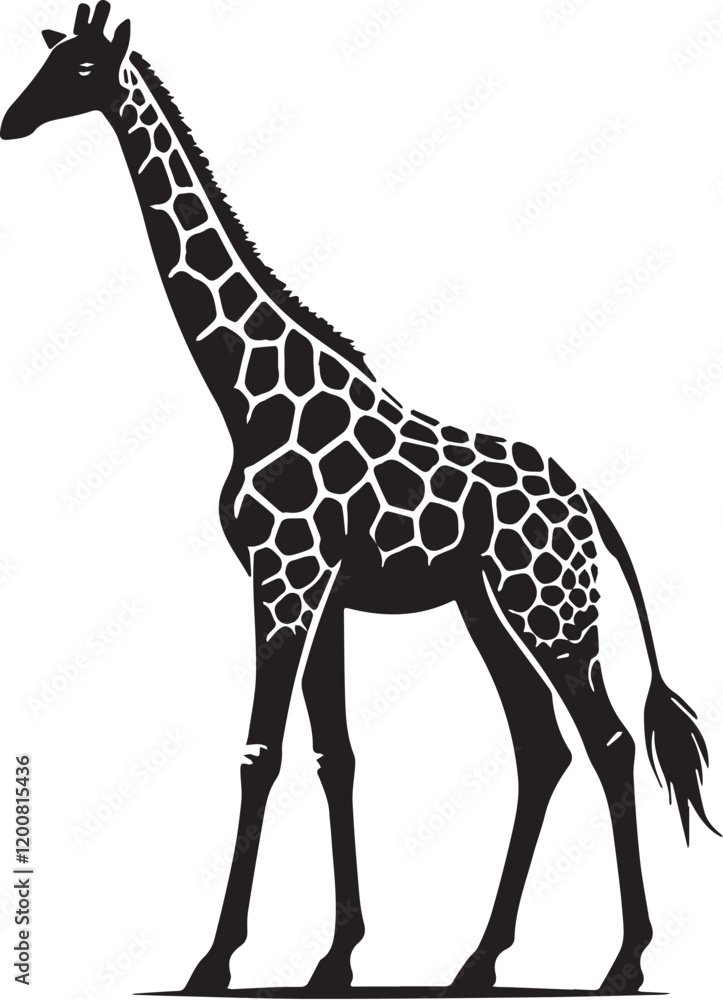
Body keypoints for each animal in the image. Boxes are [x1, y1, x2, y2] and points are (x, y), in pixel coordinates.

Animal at [2, 5, 718, 996]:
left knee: (607, 745)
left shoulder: (285, 577)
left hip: (552, 612)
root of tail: (593, 512)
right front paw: (334, 957)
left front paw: (213, 959)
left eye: (75, 69)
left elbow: (259, 753)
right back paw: (477, 960)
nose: (9, 122)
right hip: (486, 611)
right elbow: (332, 755)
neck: (248, 397)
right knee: (541, 749)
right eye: (47, 60)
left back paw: (623, 960)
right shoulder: (326, 592)